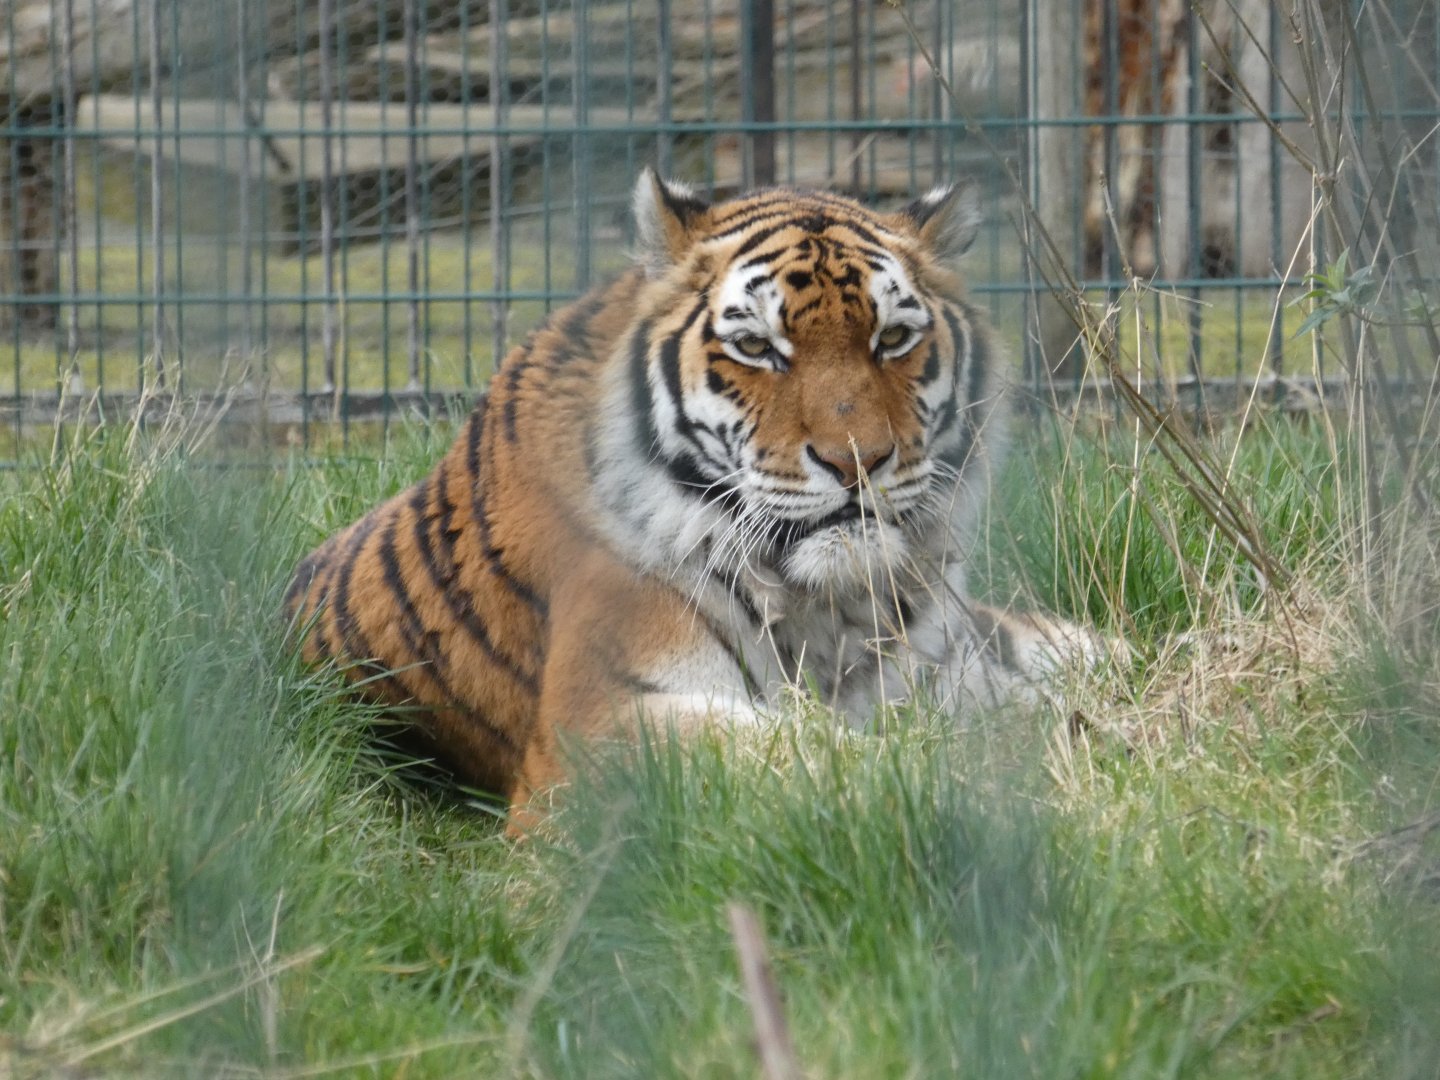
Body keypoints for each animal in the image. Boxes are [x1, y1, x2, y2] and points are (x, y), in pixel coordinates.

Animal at [283, 169, 1100, 830]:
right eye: (758, 348)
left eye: (894, 338)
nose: (857, 462)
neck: (829, 609)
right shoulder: (598, 727)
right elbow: (829, 753)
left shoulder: (952, 670)